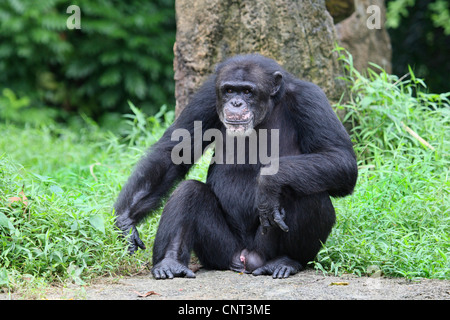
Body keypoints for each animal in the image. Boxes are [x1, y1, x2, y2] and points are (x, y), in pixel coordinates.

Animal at [113, 53, 358, 278]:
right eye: (229, 90)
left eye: (248, 91)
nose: (236, 103)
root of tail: (245, 259)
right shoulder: (206, 97)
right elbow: (174, 152)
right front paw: (125, 221)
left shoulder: (310, 98)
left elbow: (339, 158)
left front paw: (268, 182)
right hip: (220, 251)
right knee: (188, 191)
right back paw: (170, 262)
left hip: (263, 250)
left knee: (307, 193)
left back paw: (286, 261)